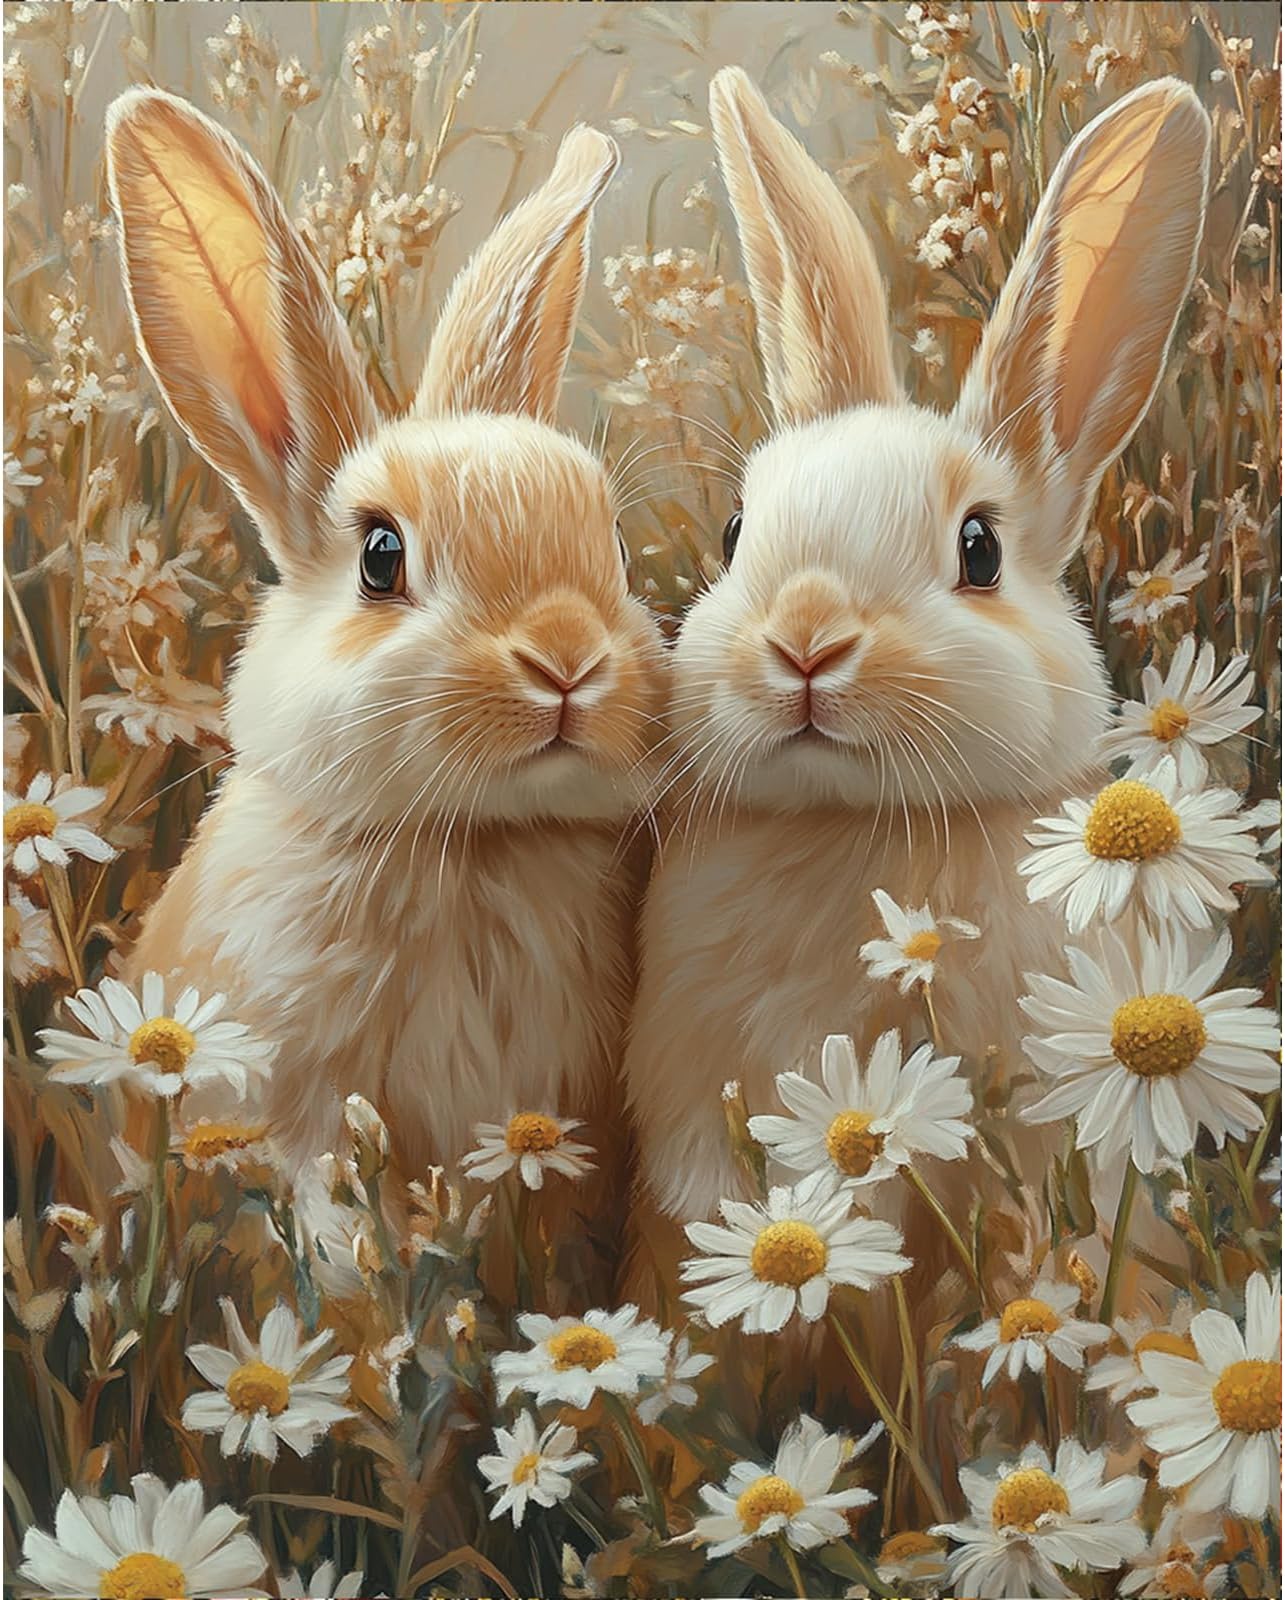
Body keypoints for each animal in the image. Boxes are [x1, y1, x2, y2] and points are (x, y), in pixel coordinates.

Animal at [106, 90, 665, 1270]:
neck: (470, 845)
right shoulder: (290, 1097)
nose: (566, 658)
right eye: (379, 557)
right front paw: (373, 1265)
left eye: (612, 548)